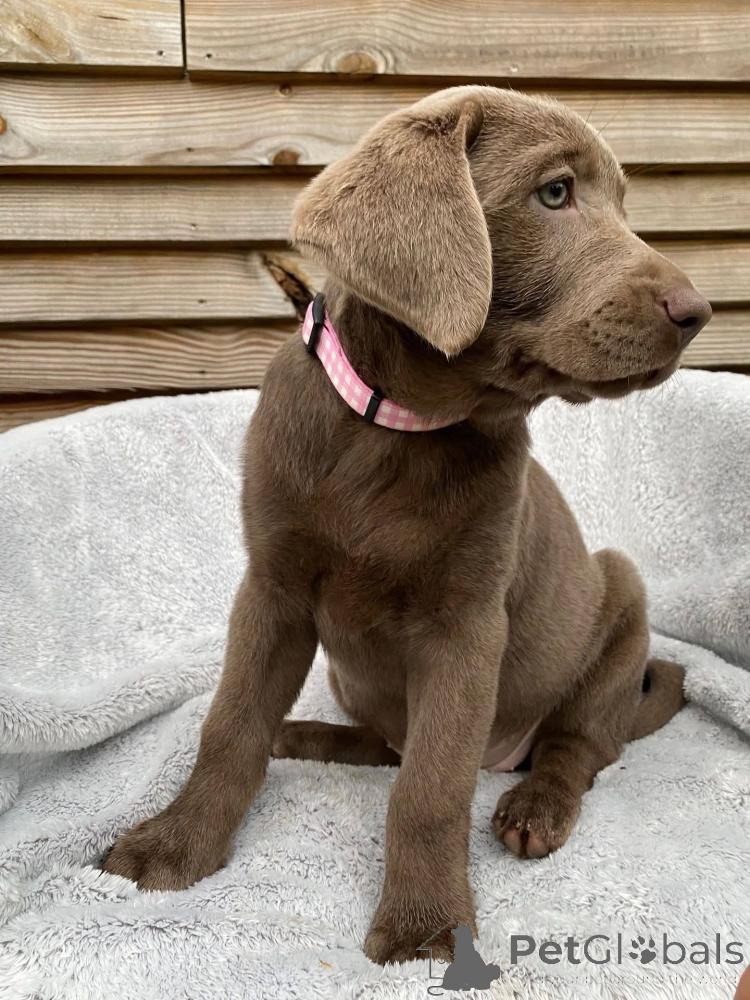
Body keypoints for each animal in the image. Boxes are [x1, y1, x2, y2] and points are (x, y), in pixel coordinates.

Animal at [104, 86, 712, 965]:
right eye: (555, 193)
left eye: (624, 206)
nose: (698, 311)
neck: (398, 430)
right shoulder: (271, 590)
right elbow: (230, 726)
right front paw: (177, 845)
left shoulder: (465, 627)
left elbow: (431, 788)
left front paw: (426, 926)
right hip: (348, 676)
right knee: (387, 744)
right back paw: (307, 735)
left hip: (618, 598)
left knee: (580, 747)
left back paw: (535, 807)